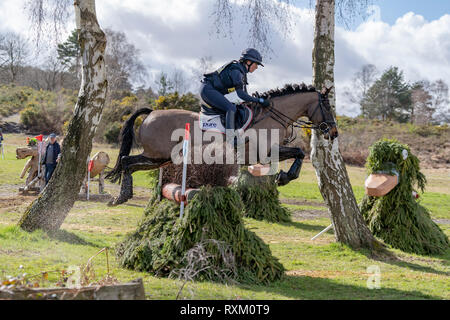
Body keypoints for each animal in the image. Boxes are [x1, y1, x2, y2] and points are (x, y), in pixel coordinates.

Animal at [105, 84, 338, 206]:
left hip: (159, 159)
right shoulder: (263, 154)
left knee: (128, 162)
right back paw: (122, 196)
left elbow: (298, 152)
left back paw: (122, 196)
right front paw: (284, 177)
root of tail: (152, 112)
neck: (272, 116)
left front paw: (285, 176)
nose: (334, 133)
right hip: (158, 155)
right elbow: (299, 151)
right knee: (126, 161)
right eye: (327, 106)